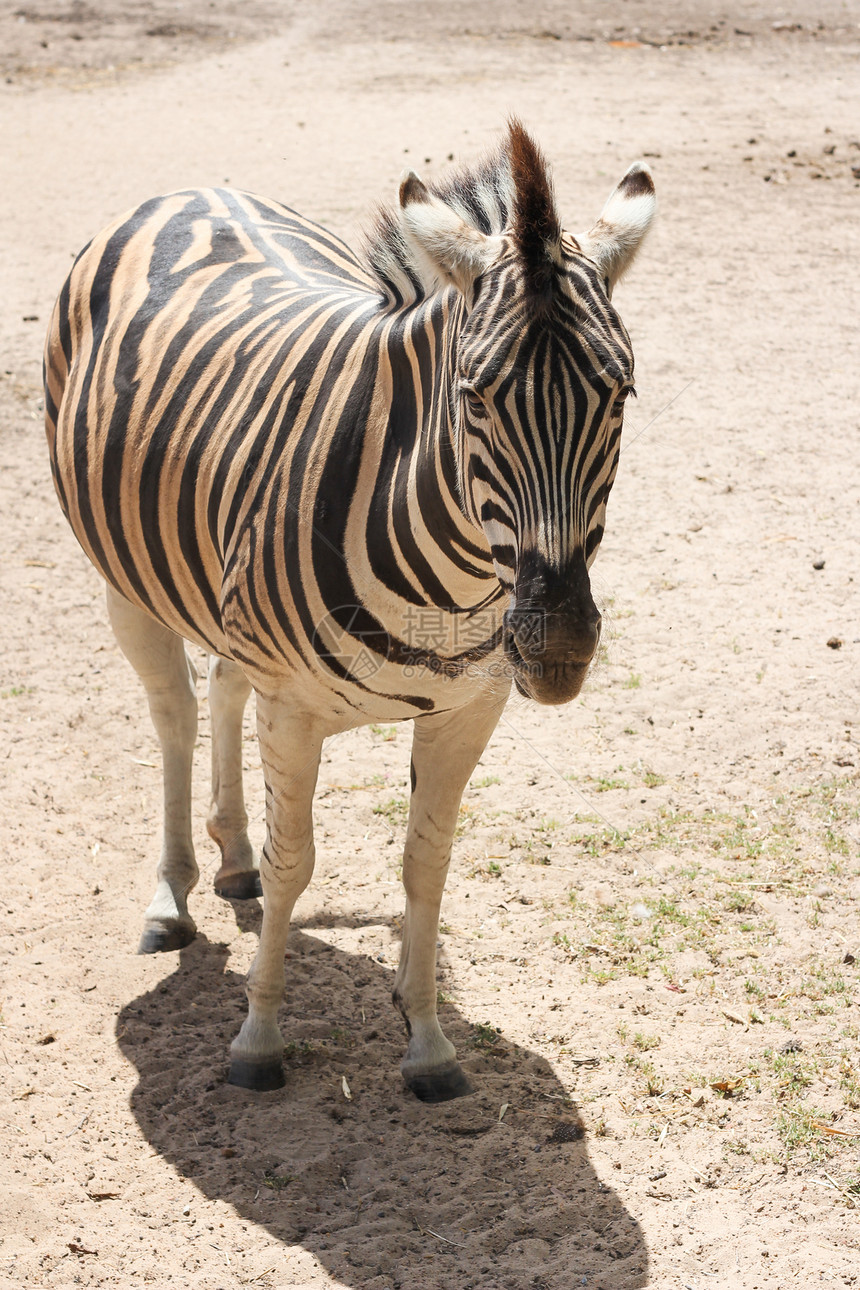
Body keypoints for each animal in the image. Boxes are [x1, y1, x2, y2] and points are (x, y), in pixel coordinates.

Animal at [43, 123, 654, 1099]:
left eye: (621, 392)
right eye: (474, 396)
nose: (557, 647)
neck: (452, 583)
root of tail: (193, 188)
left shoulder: (470, 709)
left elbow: (426, 860)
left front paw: (428, 1041)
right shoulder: (294, 709)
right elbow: (299, 861)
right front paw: (258, 1037)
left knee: (222, 690)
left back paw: (232, 861)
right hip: (126, 581)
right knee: (174, 716)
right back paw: (173, 898)